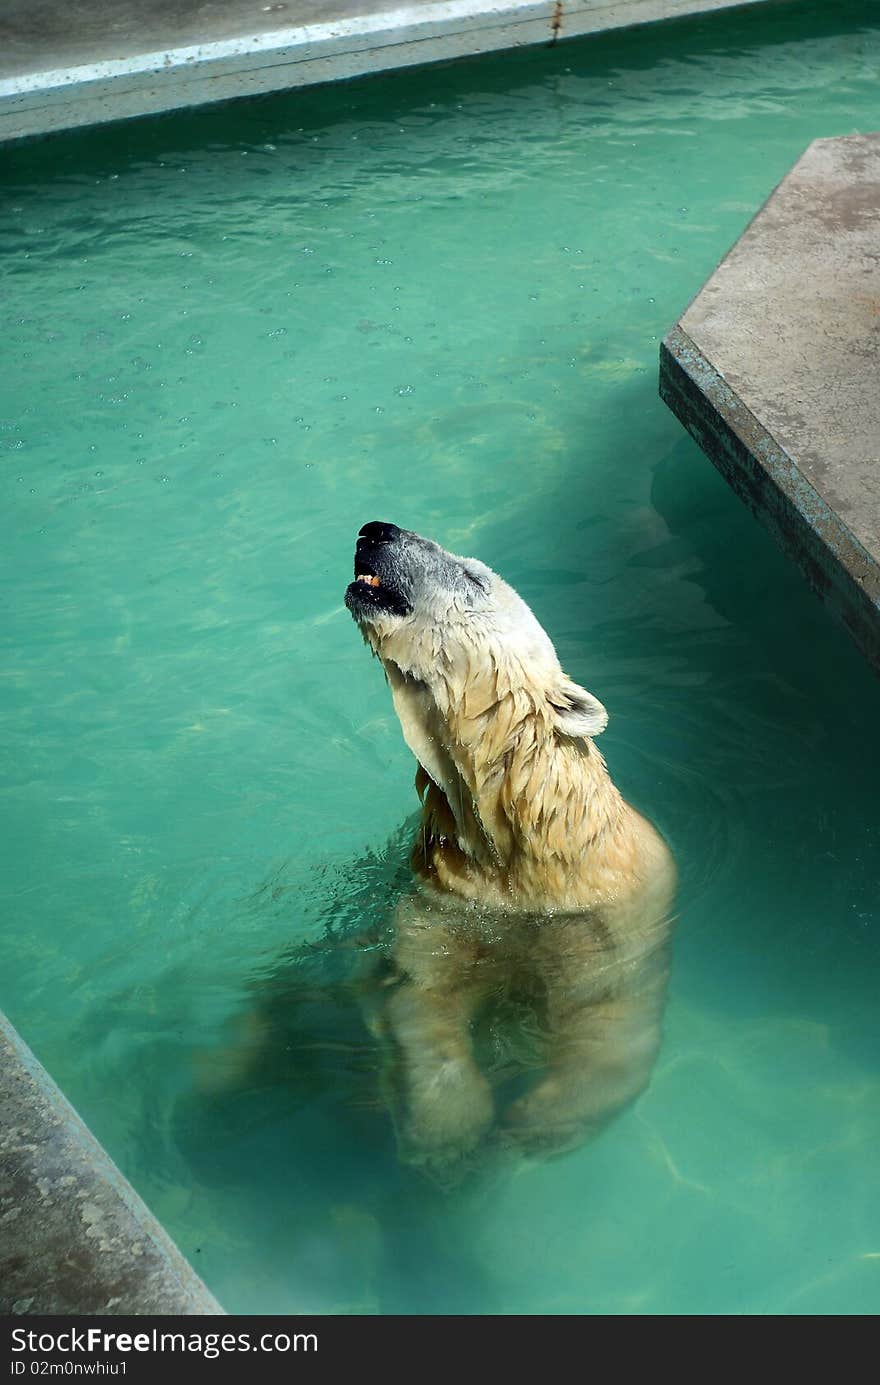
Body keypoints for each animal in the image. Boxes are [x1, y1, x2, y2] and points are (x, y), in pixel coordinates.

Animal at [343, 520, 673, 1168]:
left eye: (474, 576)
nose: (375, 530)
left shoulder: (609, 923)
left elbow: (609, 1021)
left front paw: (533, 1122)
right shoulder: (446, 902)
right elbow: (421, 994)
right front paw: (448, 1131)